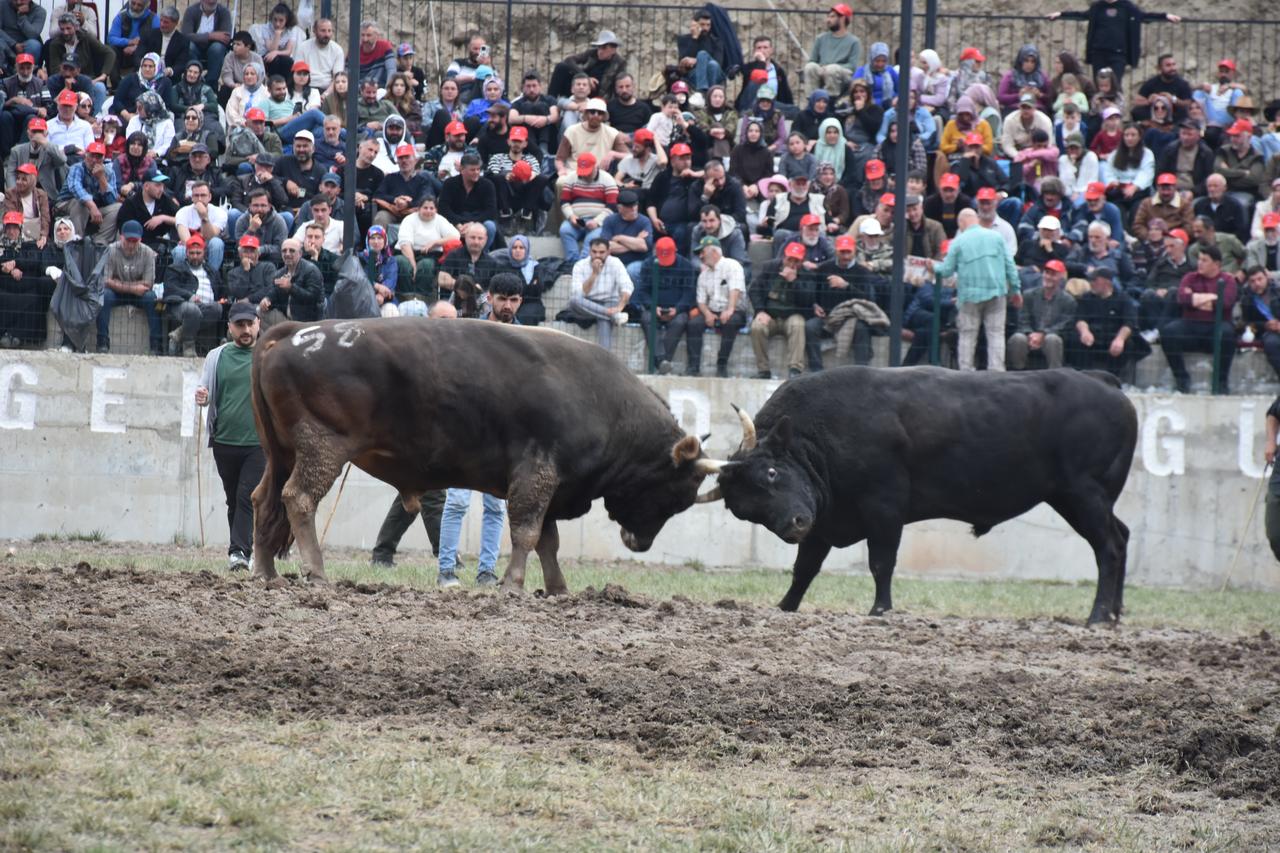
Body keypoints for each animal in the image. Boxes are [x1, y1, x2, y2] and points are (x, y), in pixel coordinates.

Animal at [249, 318, 723, 591]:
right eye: (672, 493)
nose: (639, 542)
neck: (601, 399)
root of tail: (293, 332)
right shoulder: (536, 477)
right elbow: (528, 534)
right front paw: (512, 585)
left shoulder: (549, 483)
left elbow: (547, 541)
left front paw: (557, 589)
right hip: (322, 450)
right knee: (299, 499)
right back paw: (316, 573)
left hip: (281, 455)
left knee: (262, 501)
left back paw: (266, 573)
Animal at [701, 367, 1139, 625]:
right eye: (745, 511)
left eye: (772, 473)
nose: (794, 525)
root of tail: (1105, 383)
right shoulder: (823, 521)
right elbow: (804, 568)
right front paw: (785, 606)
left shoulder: (883, 507)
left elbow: (881, 562)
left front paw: (880, 609)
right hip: (1080, 499)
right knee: (1122, 536)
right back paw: (1115, 613)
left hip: (1085, 494)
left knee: (1109, 547)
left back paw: (1098, 616)